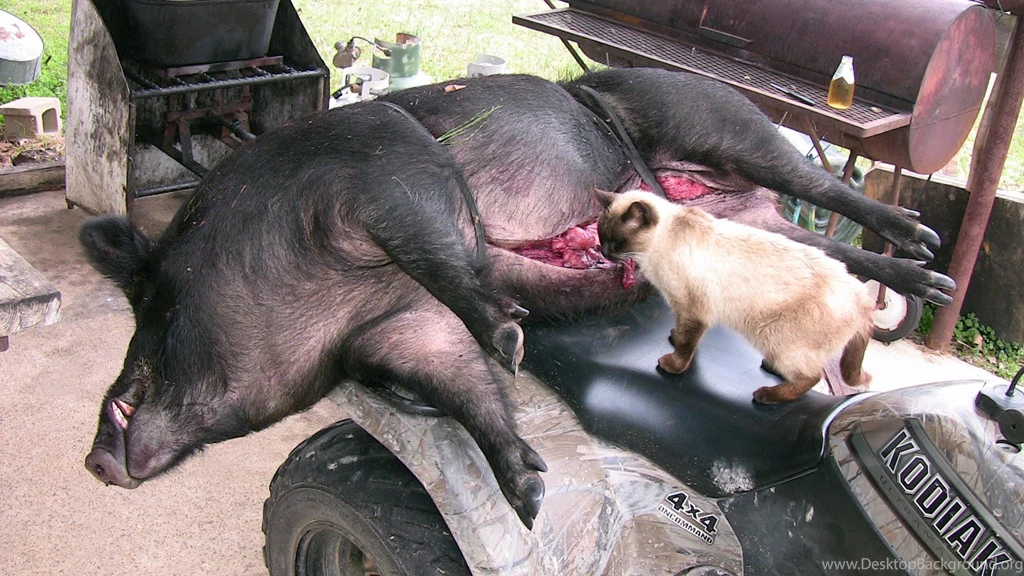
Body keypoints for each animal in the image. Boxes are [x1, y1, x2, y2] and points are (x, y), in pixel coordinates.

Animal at [82, 68, 953, 530]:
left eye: (154, 305)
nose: (91, 460)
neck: (335, 306)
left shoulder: (383, 174)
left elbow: (440, 253)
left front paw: (510, 337)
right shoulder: (398, 330)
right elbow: (461, 384)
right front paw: (529, 496)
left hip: (713, 119)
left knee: (828, 189)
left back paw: (928, 256)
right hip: (758, 222)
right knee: (820, 244)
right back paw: (920, 277)